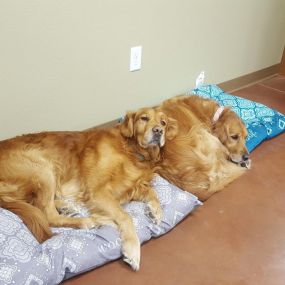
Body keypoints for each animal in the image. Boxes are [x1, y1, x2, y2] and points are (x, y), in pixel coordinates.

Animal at [0, 106, 178, 268]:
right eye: (144, 118)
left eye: (163, 122)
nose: (158, 131)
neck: (131, 150)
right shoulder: (97, 192)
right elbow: (125, 216)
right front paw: (132, 250)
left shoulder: (130, 186)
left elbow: (151, 192)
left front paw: (155, 211)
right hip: (42, 167)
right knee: (48, 215)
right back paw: (89, 220)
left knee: (40, 204)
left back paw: (67, 207)